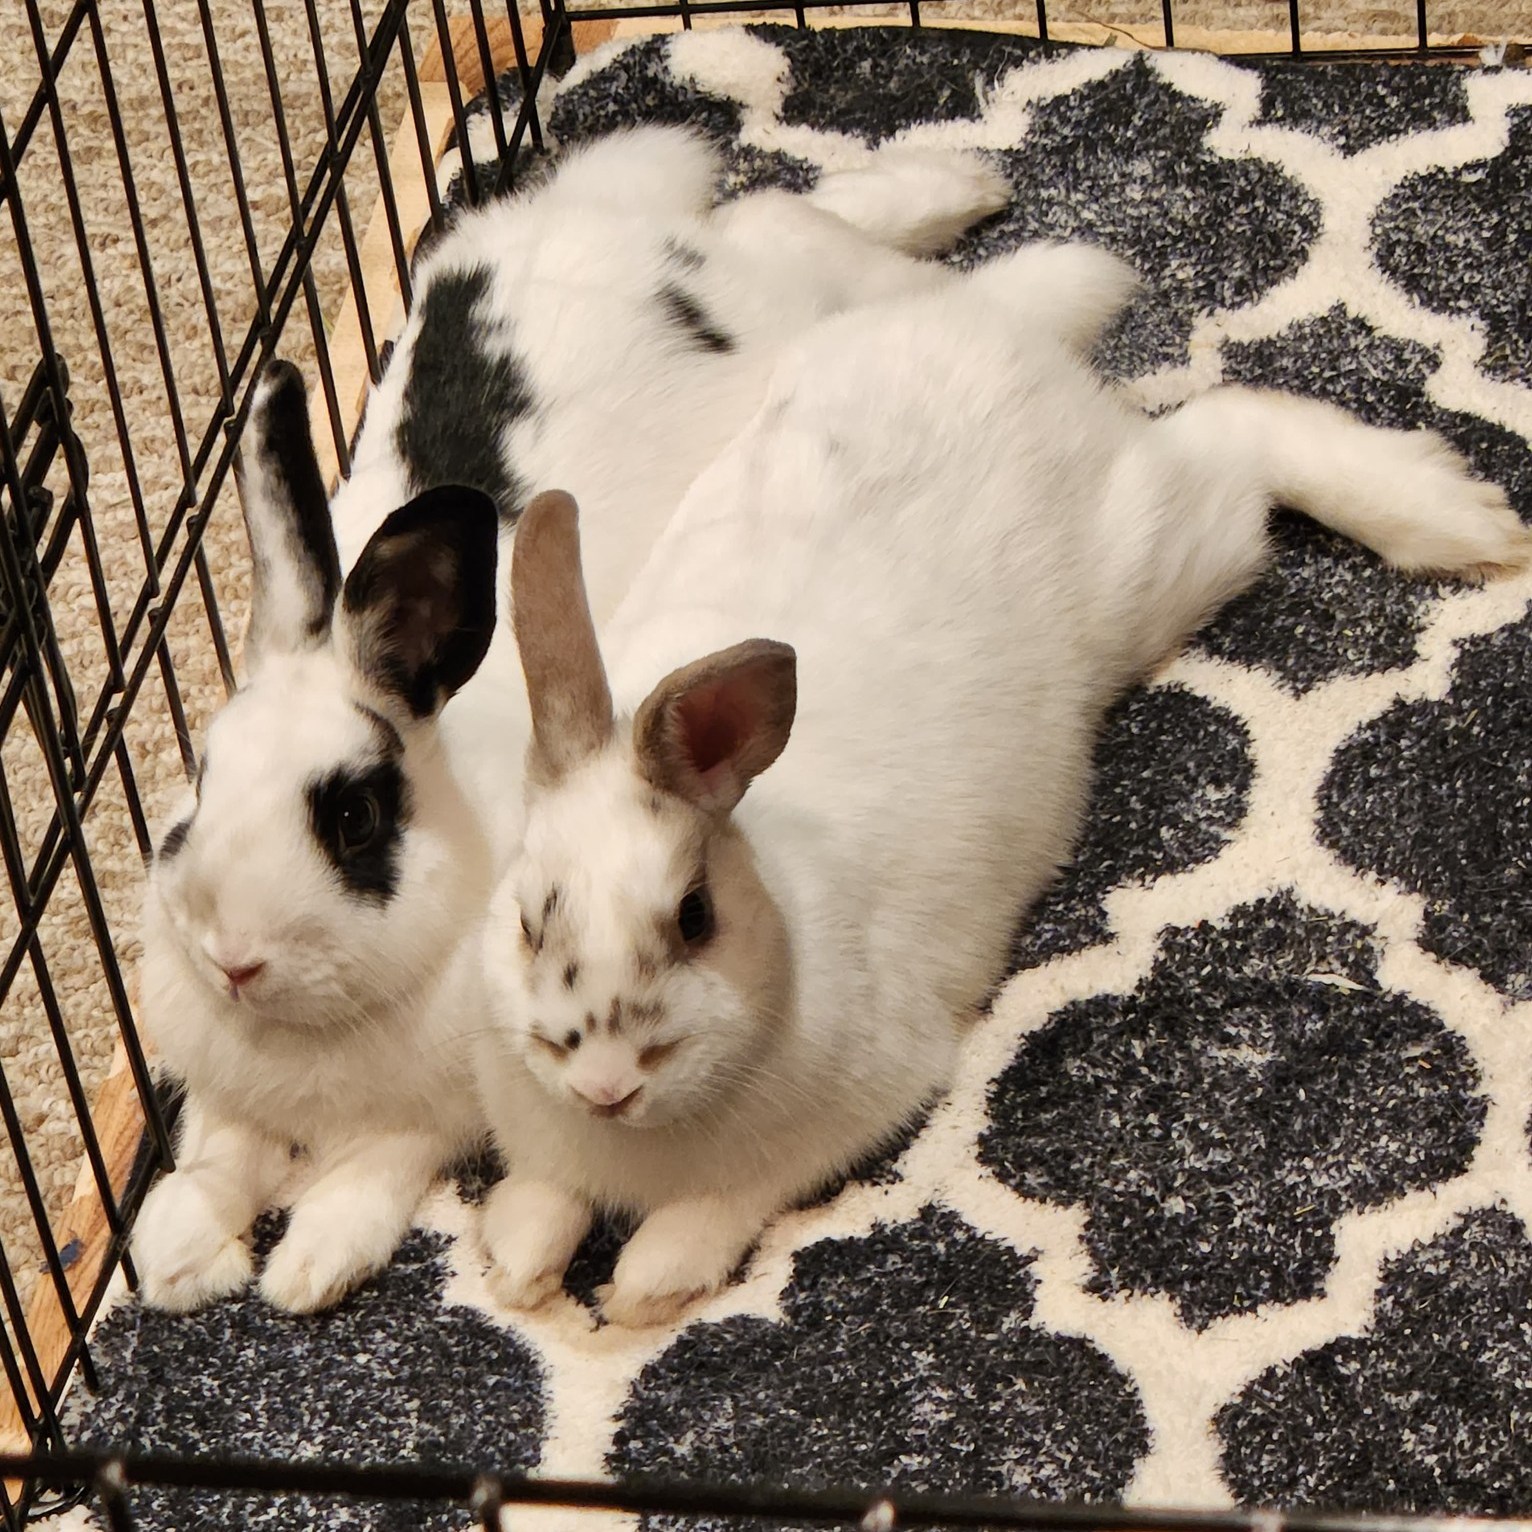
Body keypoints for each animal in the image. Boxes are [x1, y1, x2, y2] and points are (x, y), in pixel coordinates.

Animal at [131, 126, 1011, 1314]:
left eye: (355, 817)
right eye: (198, 783)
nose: (233, 960)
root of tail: (615, 220)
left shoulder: (439, 1113)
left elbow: (375, 1165)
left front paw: (310, 1265)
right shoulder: (227, 1091)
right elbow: (216, 1152)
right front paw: (178, 1254)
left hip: (783, 288)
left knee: (796, 219)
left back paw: (963, 194)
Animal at [475, 240, 1532, 1329]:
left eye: (694, 917)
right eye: (527, 919)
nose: (605, 1085)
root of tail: (982, 331)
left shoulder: (848, 1109)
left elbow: (717, 1209)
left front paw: (644, 1288)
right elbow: (543, 1200)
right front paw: (517, 1264)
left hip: (1157, 553)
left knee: (1234, 430)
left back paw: (1456, 518)